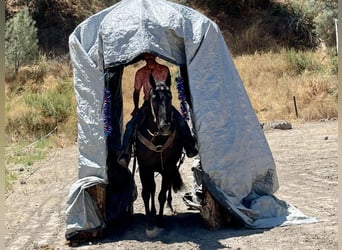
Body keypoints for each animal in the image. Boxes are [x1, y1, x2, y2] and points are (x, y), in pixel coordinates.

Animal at [134, 73, 184, 236]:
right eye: (154, 97)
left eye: (170, 96)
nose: (165, 127)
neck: (156, 138)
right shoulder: (144, 167)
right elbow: (146, 192)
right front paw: (149, 222)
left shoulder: (168, 167)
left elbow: (161, 194)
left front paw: (160, 221)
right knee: (152, 188)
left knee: (165, 188)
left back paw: (168, 205)